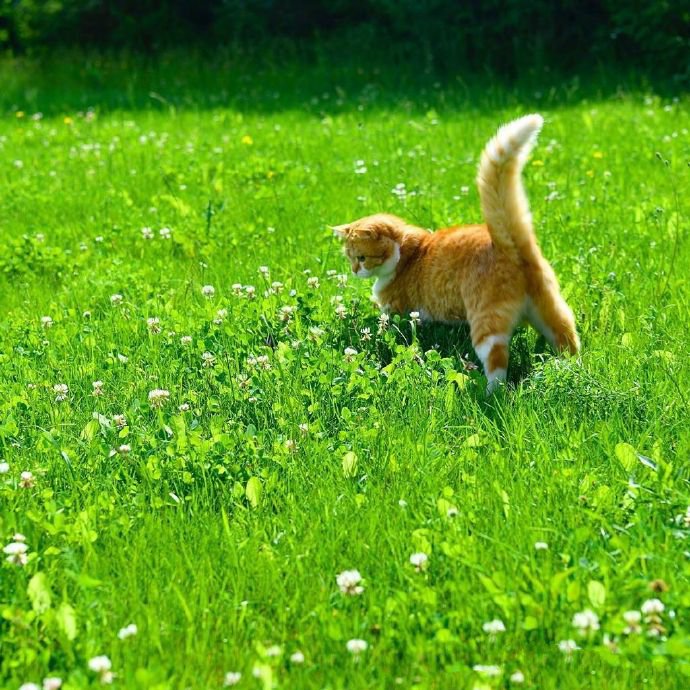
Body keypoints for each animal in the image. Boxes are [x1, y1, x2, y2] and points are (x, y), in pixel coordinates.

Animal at [330, 113, 576, 392]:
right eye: (350, 258)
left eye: (361, 258)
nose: (354, 271)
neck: (406, 252)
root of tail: (508, 243)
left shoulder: (397, 312)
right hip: (549, 310)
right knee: (567, 338)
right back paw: (569, 370)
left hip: (486, 325)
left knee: (497, 361)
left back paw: (490, 392)